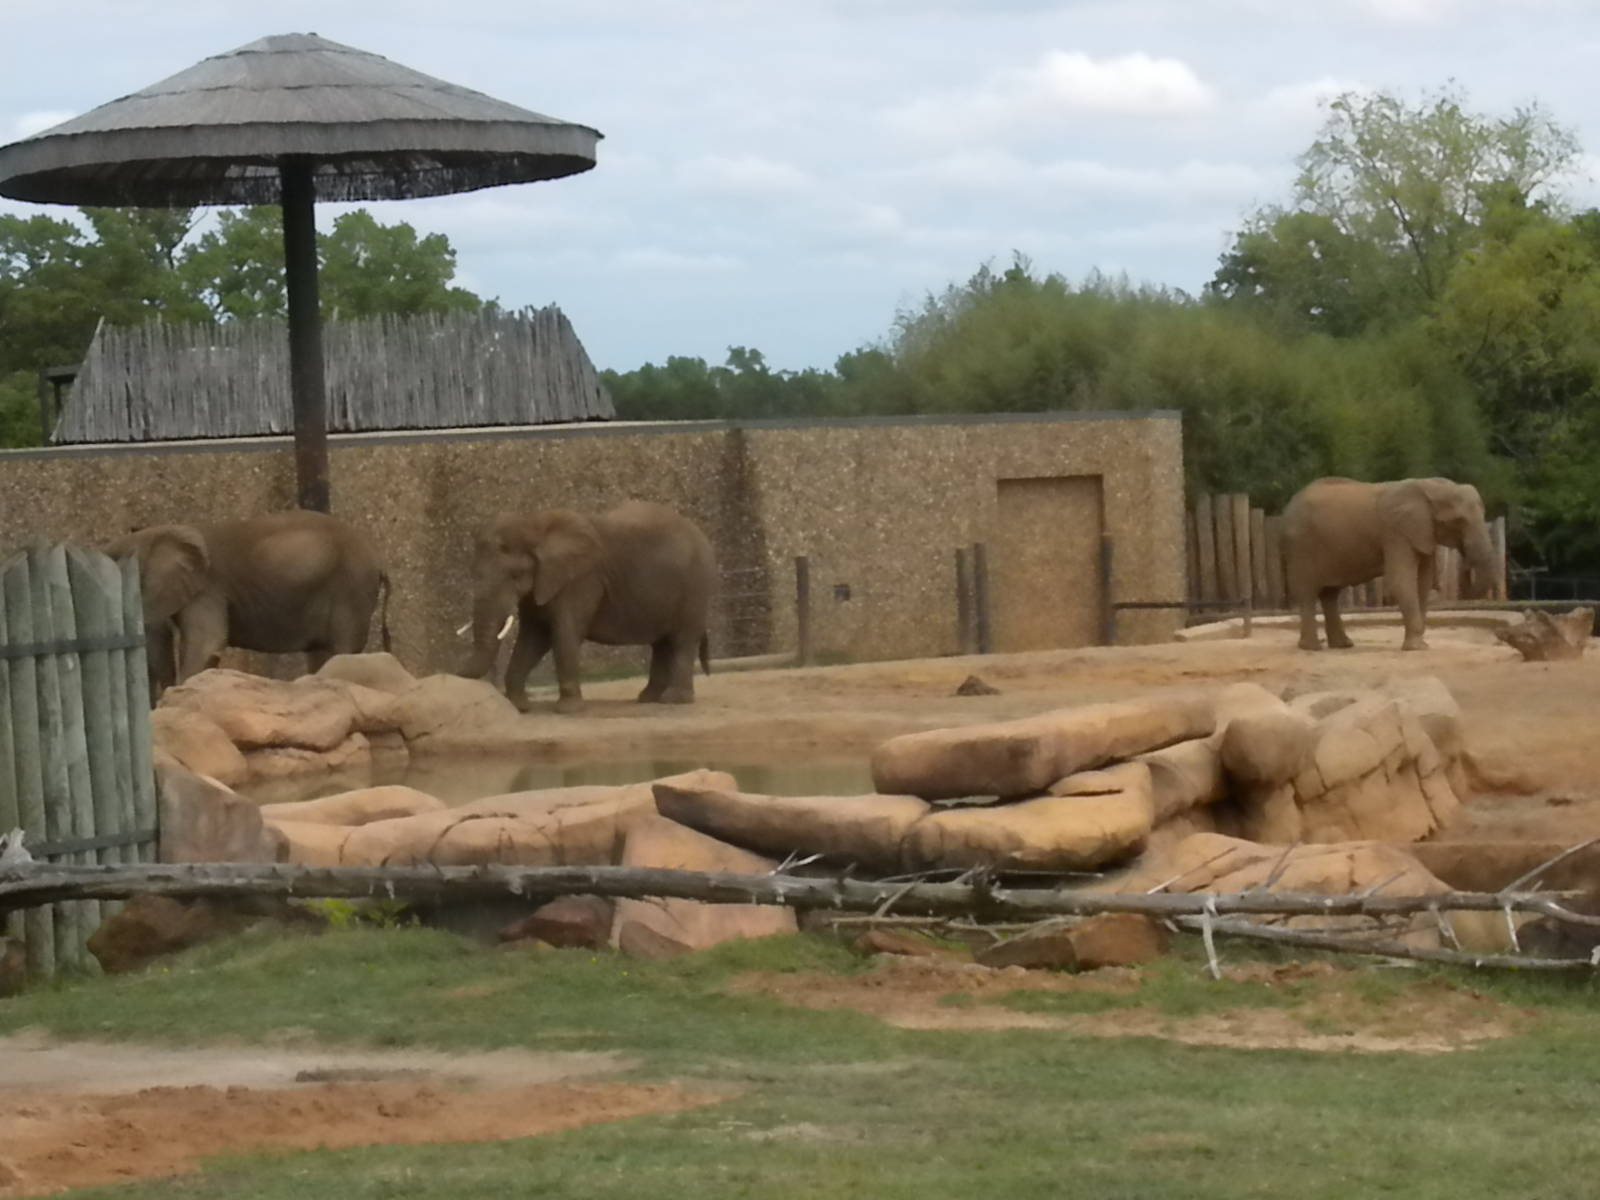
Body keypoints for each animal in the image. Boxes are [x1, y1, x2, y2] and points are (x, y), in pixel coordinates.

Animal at [460, 500, 715, 714]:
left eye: (514, 576)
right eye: (472, 572)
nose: (458, 669)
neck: (534, 524)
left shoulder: (581, 580)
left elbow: (564, 634)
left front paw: (567, 710)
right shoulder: (543, 584)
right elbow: (533, 638)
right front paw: (520, 706)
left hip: (696, 588)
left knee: (682, 641)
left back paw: (674, 700)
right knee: (662, 644)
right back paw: (648, 699)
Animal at [1283, 476, 1494, 652]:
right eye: (1458, 521)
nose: (1465, 561)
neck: (1428, 485)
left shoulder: (1422, 532)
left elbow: (1422, 582)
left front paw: (1421, 644)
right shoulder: (1396, 532)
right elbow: (1402, 580)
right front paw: (1416, 648)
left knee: (1330, 594)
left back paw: (1343, 645)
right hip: (1301, 547)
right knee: (1307, 593)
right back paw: (1312, 648)